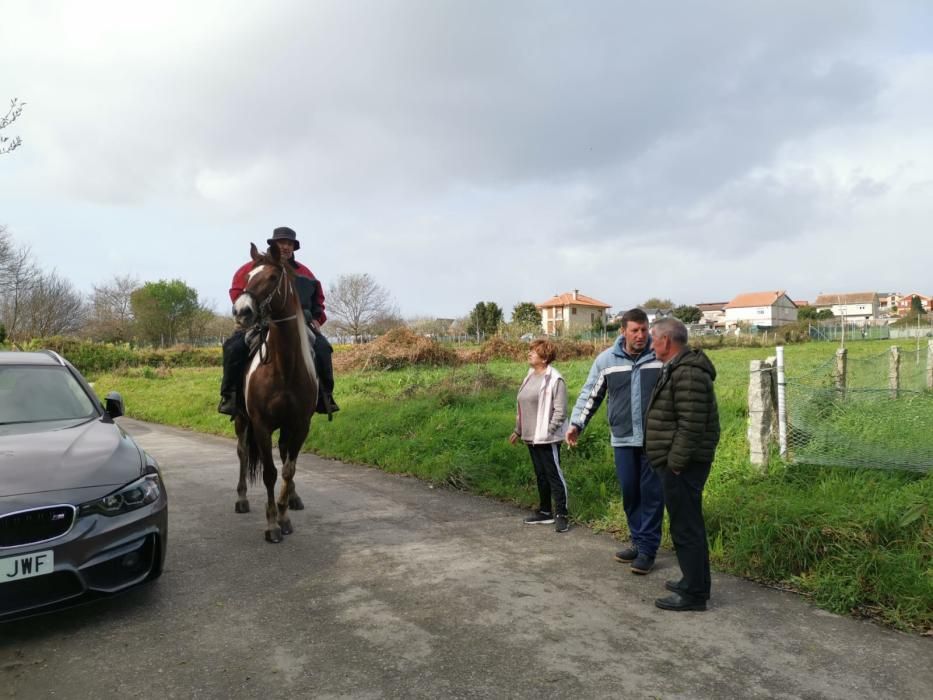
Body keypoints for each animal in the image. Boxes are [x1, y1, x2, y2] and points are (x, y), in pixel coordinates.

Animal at [231, 243, 318, 544]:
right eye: (247, 277)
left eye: (271, 277)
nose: (241, 312)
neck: (284, 368)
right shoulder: (261, 425)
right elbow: (270, 473)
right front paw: (271, 525)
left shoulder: (300, 424)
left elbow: (289, 469)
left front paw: (284, 515)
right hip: (241, 420)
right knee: (243, 453)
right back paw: (242, 499)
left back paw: (293, 498)